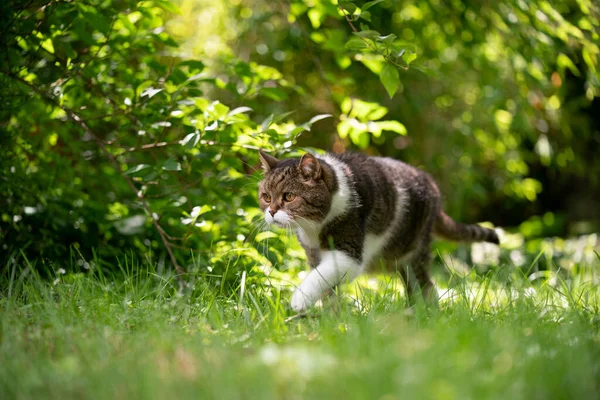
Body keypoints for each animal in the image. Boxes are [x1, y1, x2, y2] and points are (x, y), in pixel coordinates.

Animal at [255, 150, 500, 312]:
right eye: (266, 196)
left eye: (289, 197)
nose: (272, 212)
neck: (313, 227)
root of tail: (433, 186)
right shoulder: (313, 254)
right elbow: (328, 289)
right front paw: (331, 318)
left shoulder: (348, 254)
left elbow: (320, 275)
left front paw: (299, 299)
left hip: (414, 253)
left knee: (426, 286)